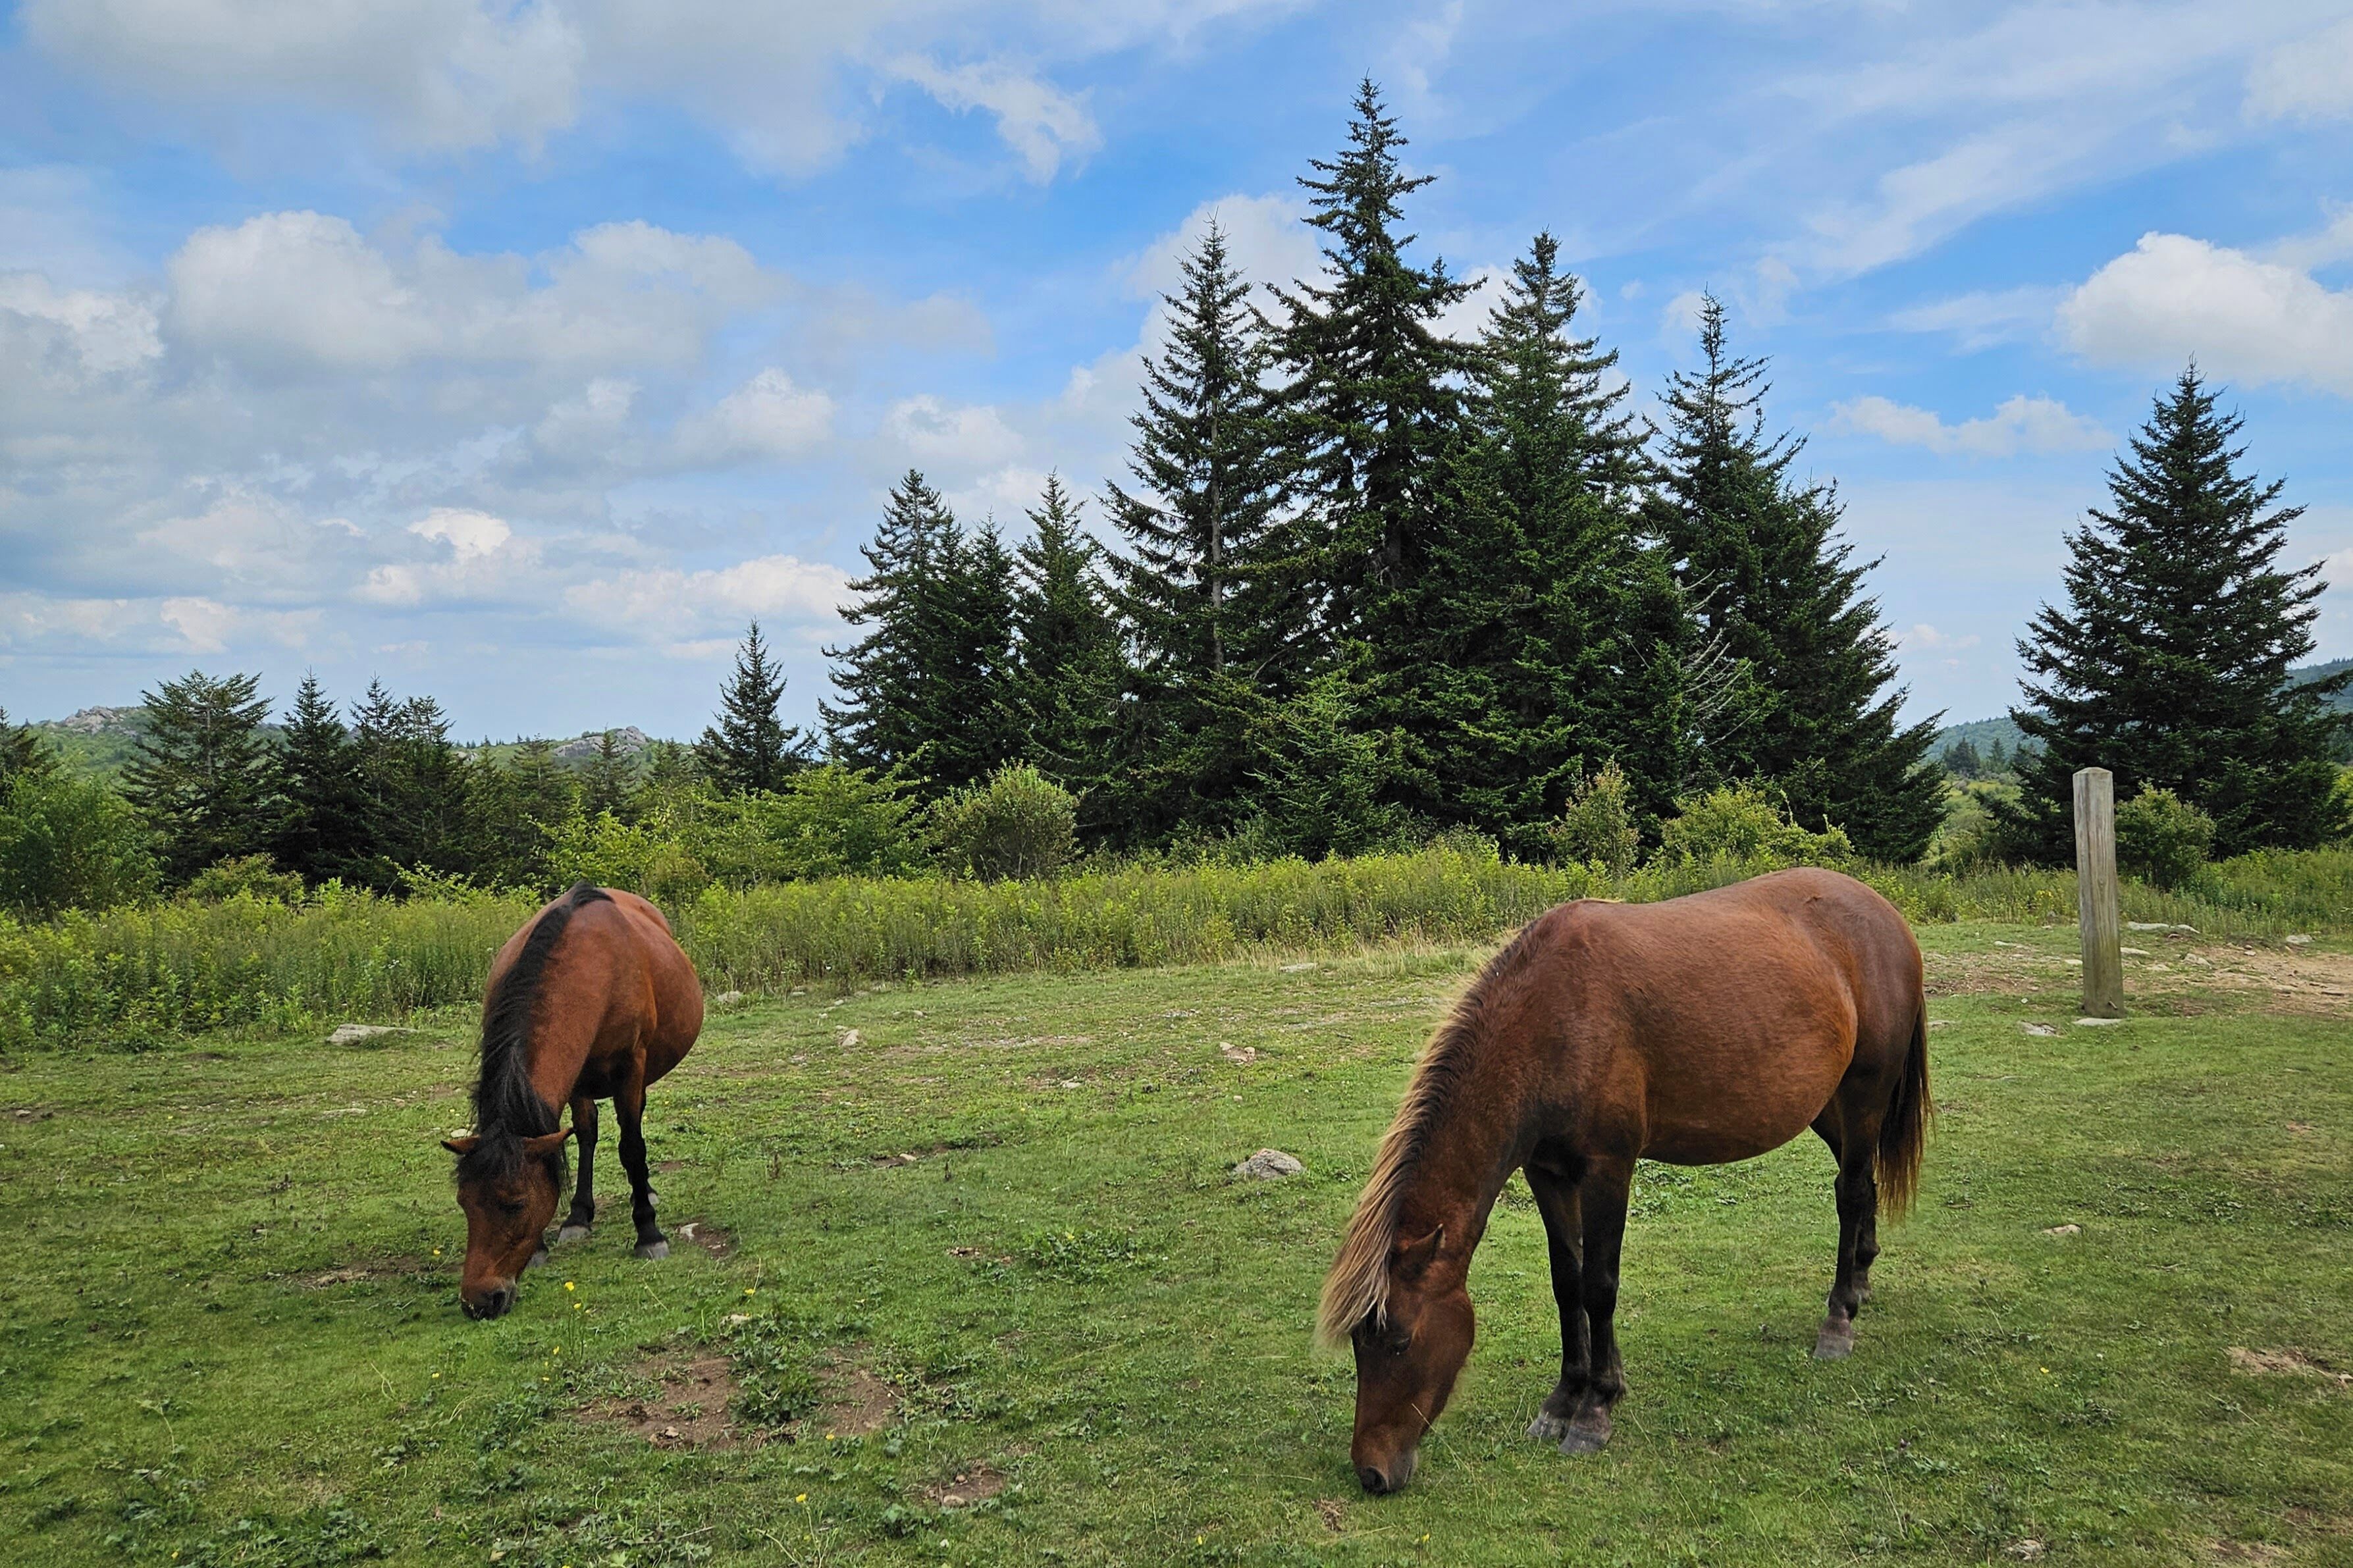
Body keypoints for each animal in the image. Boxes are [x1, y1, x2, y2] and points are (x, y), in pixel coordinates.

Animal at [441, 882, 703, 1320]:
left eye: (515, 1204)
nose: (479, 1301)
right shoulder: (576, 1075)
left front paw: (648, 1232)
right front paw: (563, 1228)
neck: (591, 966)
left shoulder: (631, 1067)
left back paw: (644, 1193)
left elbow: (632, 1147)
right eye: (464, 1203)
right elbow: (581, 1136)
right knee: (587, 1133)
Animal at [1318, 867, 1929, 1493]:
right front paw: (1562, 1399)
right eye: (1359, 1344)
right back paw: (1860, 1283)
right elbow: (1567, 1283)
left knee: (1851, 1192)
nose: (1371, 1471)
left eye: (1399, 1340)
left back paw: (1838, 1320)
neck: (1554, 1018)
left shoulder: (1607, 1170)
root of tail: (1884, 914)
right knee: (1863, 1185)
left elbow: (1599, 1286)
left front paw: (1595, 1409)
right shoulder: (1547, 1173)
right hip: (1827, 1108)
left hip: (1863, 1094)